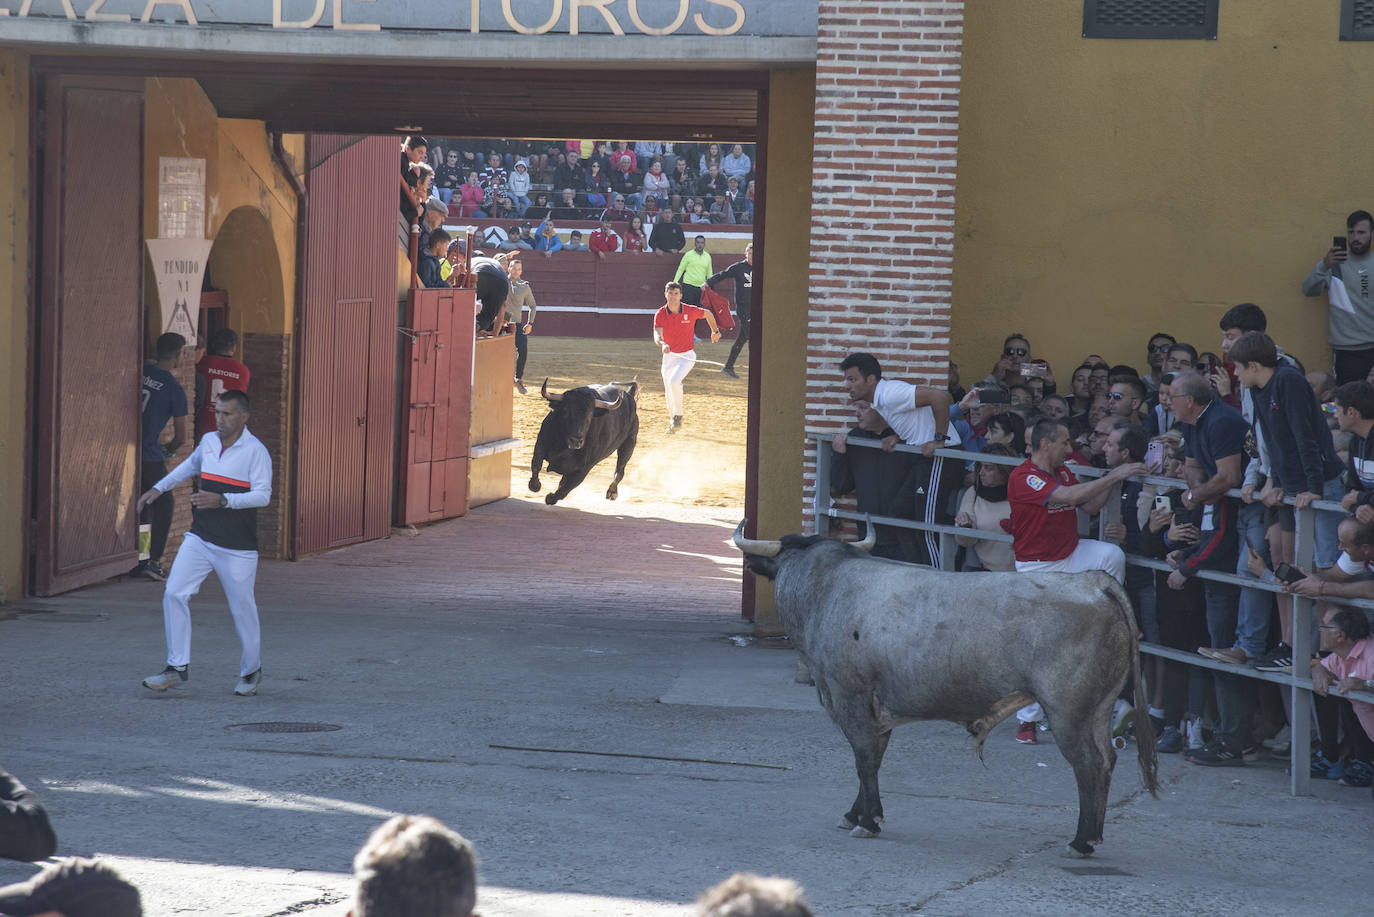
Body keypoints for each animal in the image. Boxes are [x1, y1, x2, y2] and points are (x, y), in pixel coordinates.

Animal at [736, 522, 1154, 863]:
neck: (827, 588)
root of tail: (1093, 582)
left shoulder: (850, 697)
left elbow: (864, 759)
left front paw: (867, 821)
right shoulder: (876, 709)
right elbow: (874, 757)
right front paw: (857, 813)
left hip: (1067, 712)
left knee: (1088, 765)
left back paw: (1081, 841)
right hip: (1098, 709)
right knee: (1106, 761)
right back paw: (1093, 836)